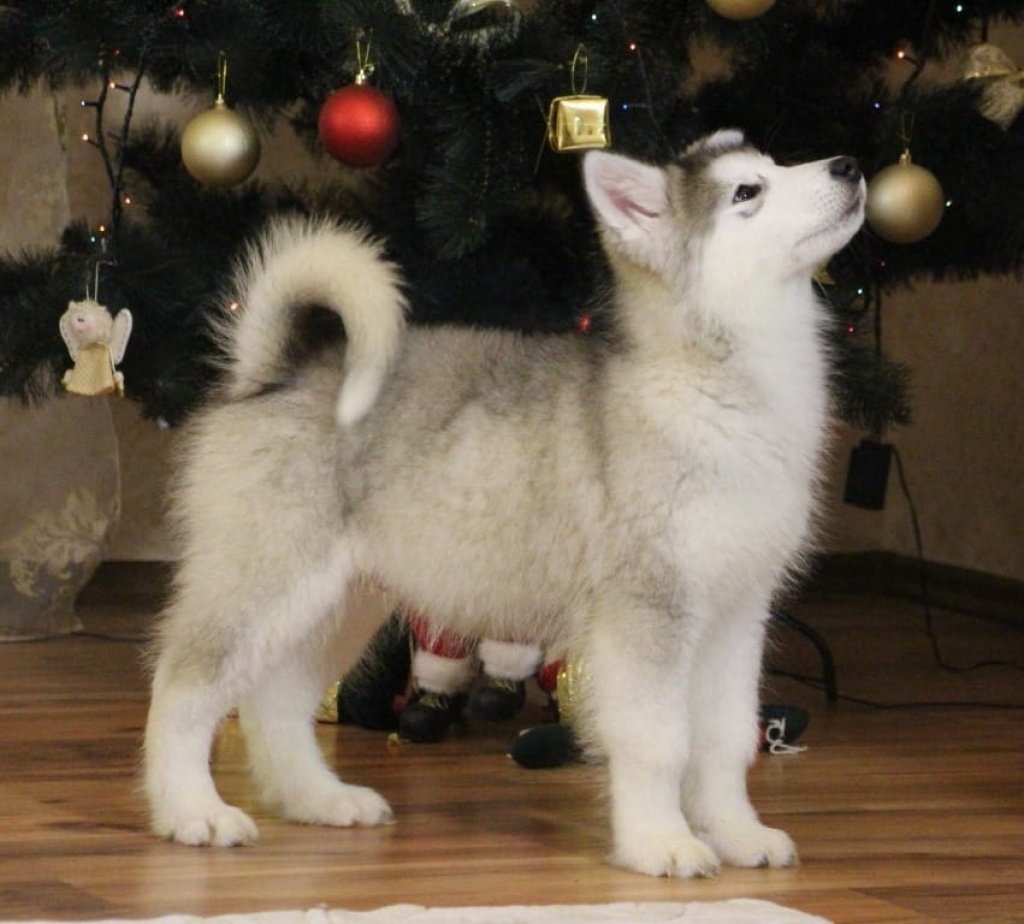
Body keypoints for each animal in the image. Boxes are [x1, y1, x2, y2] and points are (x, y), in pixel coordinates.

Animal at [144, 128, 864, 876]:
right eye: (748, 192)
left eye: (777, 163)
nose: (850, 165)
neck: (719, 385)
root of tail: (273, 374)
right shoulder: (645, 613)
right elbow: (659, 741)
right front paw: (659, 841)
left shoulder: (736, 614)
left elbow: (725, 741)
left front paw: (736, 832)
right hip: (264, 579)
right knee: (182, 685)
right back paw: (190, 809)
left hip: (338, 604)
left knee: (276, 701)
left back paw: (318, 798)